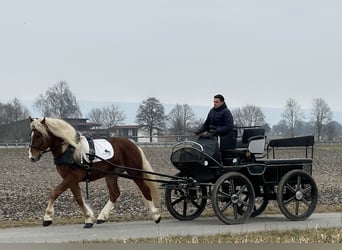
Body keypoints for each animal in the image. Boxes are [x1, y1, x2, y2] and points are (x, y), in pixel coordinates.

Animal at [27, 116, 160, 228]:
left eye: (38, 135)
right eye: (31, 134)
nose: (31, 157)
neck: (69, 150)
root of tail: (133, 145)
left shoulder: (72, 177)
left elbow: (55, 192)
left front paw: (47, 217)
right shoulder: (71, 180)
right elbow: (78, 199)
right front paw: (88, 219)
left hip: (134, 173)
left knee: (145, 190)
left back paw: (156, 215)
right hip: (111, 175)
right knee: (115, 193)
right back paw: (102, 216)